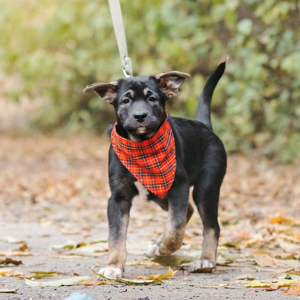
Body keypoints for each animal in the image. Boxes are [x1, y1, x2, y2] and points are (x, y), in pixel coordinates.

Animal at [83, 61, 226, 278]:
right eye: (125, 100)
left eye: (152, 98)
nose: (140, 116)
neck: (141, 146)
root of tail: (206, 127)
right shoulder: (118, 197)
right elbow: (116, 236)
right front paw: (114, 265)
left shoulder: (179, 186)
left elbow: (175, 228)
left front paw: (165, 248)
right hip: (159, 194)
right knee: (188, 210)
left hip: (205, 188)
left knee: (210, 226)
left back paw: (205, 260)